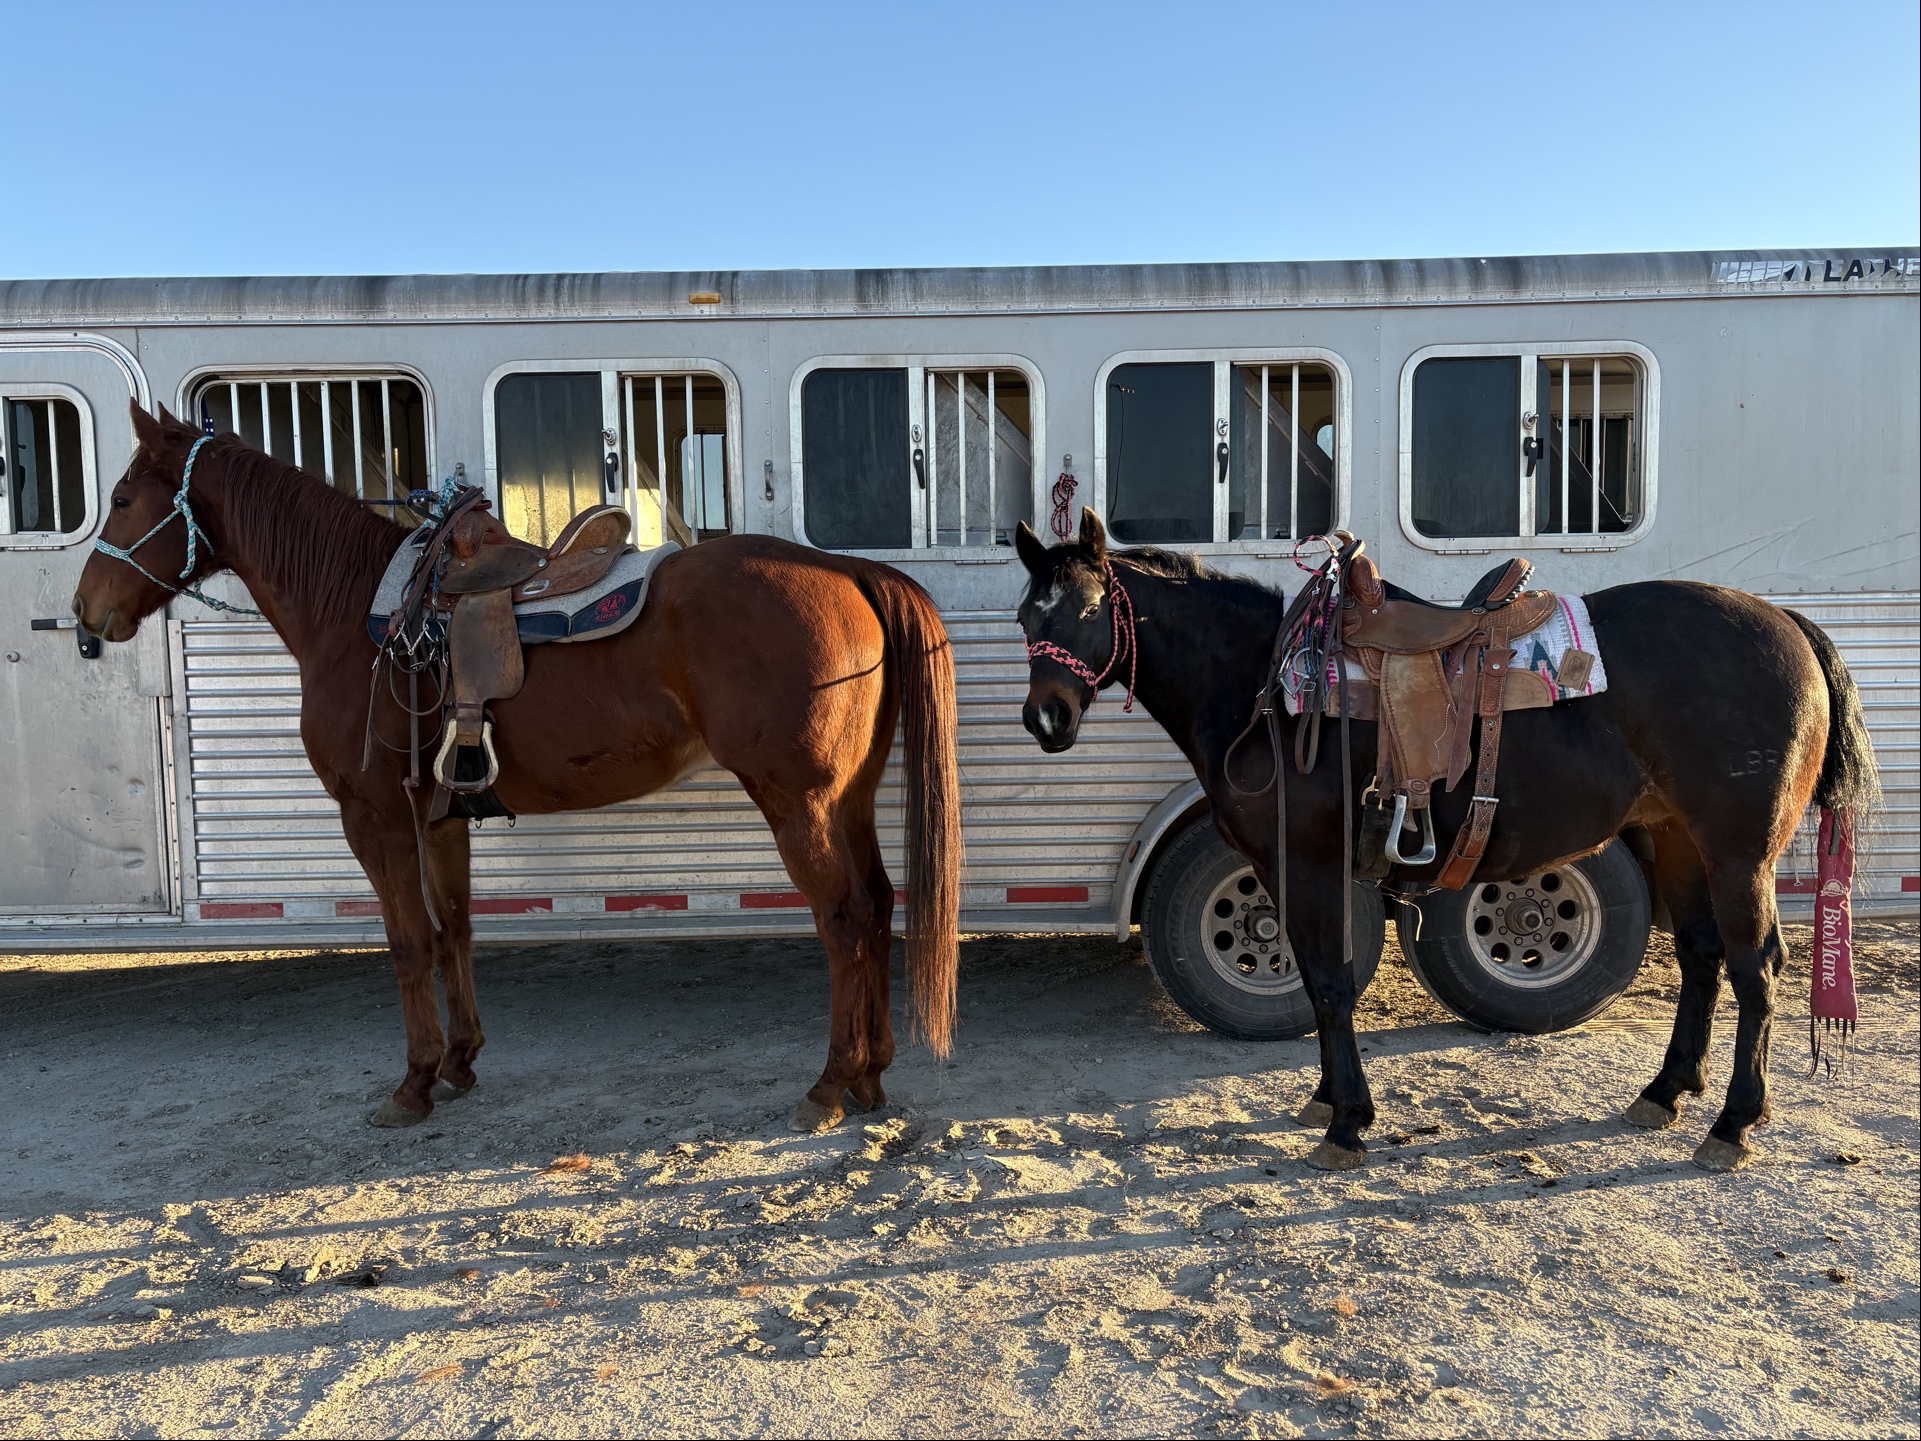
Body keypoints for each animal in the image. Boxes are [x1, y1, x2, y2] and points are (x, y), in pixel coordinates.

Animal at [73, 403, 961, 1133]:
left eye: (121, 498)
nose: (85, 612)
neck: (357, 611)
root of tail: (848, 570)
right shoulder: (437, 816)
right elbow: (452, 929)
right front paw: (460, 1061)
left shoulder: (373, 815)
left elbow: (406, 942)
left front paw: (412, 1082)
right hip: (848, 795)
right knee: (879, 905)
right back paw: (873, 1074)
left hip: (797, 800)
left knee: (841, 917)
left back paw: (830, 1083)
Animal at [1013, 510, 1877, 1173]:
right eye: (1026, 616)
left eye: (1088, 611)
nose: (1045, 718)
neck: (1267, 690)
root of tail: (1789, 627)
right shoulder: (1282, 870)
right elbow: (1318, 981)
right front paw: (1326, 1100)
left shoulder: (1313, 866)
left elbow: (1329, 985)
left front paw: (1346, 1122)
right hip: (1676, 838)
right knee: (1701, 956)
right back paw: (1663, 1092)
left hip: (1738, 852)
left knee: (1756, 969)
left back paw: (1732, 1123)